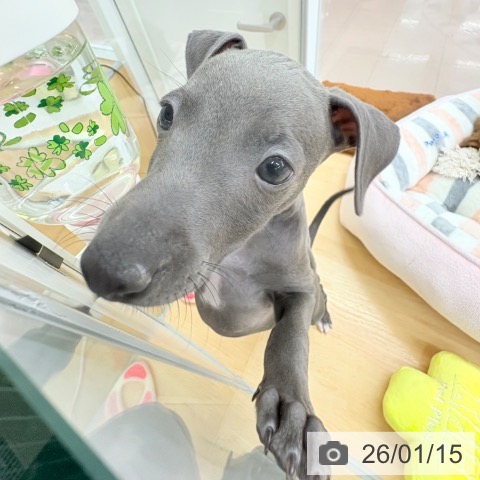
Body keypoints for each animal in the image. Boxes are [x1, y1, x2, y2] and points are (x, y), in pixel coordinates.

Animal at [80, 30, 400, 479]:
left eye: (276, 168)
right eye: (166, 112)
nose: (102, 271)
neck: (240, 251)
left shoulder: (298, 287)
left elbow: (289, 337)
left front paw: (292, 409)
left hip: (316, 286)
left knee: (320, 299)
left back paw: (323, 319)